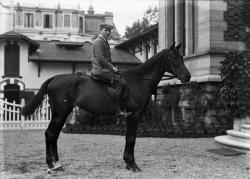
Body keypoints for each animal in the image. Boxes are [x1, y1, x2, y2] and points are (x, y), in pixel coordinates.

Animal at [21, 43, 191, 172]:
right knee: (50, 134)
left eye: (182, 57)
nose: (187, 76)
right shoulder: (134, 116)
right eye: (173, 57)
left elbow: (128, 138)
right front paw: (133, 165)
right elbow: (131, 139)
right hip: (60, 113)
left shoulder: (131, 117)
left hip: (63, 113)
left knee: (54, 135)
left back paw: (57, 164)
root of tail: (54, 78)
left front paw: (128, 163)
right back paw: (51, 164)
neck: (138, 81)